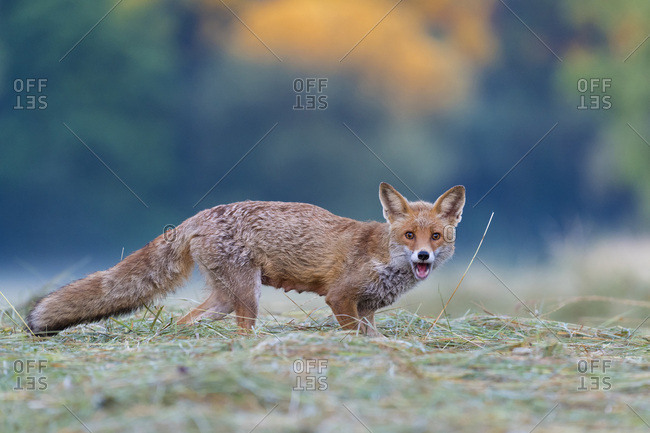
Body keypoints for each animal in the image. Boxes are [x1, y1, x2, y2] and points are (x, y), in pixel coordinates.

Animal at [26, 182, 465, 337]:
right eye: (409, 235)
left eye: (435, 236)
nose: (423, 255)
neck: (383, 256)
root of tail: (199, 215)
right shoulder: (340, 297)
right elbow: (355, 335)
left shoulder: (368, 308)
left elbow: (374, 337)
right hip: (248, 297)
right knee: (241, 333)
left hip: (224, 299)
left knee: (183, 322)